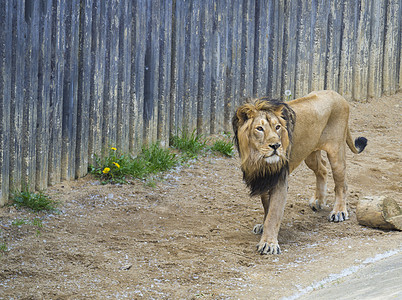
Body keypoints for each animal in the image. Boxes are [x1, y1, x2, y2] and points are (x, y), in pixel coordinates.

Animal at [232, 90, 368, 254]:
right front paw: (263, 227)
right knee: (322, 169)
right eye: (259, 128)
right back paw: (318, 201)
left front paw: (269, 244)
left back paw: (339, 212)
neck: (257, 159)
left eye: (277, 127)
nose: (276, 145)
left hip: (336, 152)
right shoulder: (264, 178)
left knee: (342, 184)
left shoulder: (279, 180)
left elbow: (273, 213)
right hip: (310, 153)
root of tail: (336, 93)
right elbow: (267, 207)